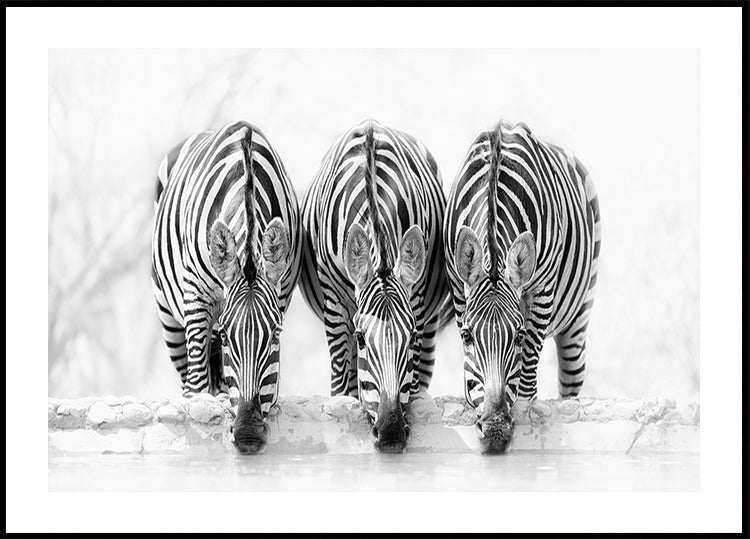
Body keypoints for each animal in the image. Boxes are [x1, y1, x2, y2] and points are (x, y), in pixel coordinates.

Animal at [151, 120, 302, 454]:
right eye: (227, 337)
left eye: (276, 334)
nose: (248, 435)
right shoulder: (195, 294)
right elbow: (197, 379)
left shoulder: (282, 291)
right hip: (169, 316)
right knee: (189, 369)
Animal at [299, 119, 453, 453]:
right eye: (361, 338)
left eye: (410, 338)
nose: (391, 433)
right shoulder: (334, 303)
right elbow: (341, 380)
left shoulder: (416, 300)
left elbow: (412, 379)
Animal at [444, 120, 601, 453]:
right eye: (466, 336)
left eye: (517, 336)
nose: (495, 430)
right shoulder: (458, 286)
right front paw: (473, 401)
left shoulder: (542, 291)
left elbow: (530, 354)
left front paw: (526, 408)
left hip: (579, 317)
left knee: (571, 379)